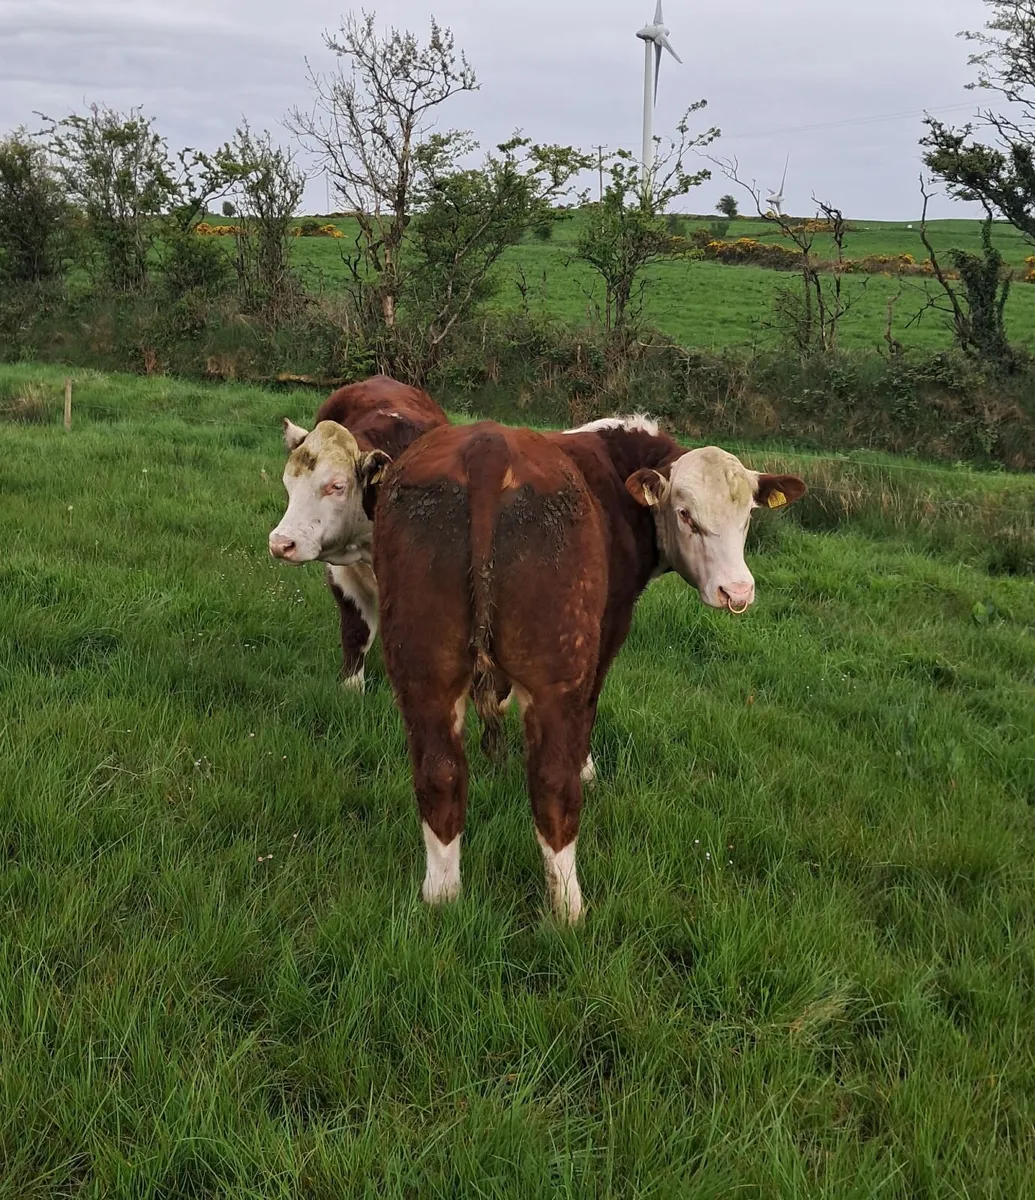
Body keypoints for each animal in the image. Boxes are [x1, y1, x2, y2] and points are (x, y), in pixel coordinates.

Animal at [268, 375, 448, 691]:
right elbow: (356, 633)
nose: (281, 543)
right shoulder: (344, 577)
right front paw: (351, 689)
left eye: (337, 486)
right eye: (288, 482)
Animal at [371, 415, 806, 922]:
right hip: (558, 671)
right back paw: (569, 911)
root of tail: (487, 444)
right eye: (686, 514)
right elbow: (590, 713)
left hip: (423, 673)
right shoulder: (609, 627)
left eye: (747, 517)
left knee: (439, 774)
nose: (736, 592)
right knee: (551, 784)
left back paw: (442, 897)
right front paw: (588, 770)